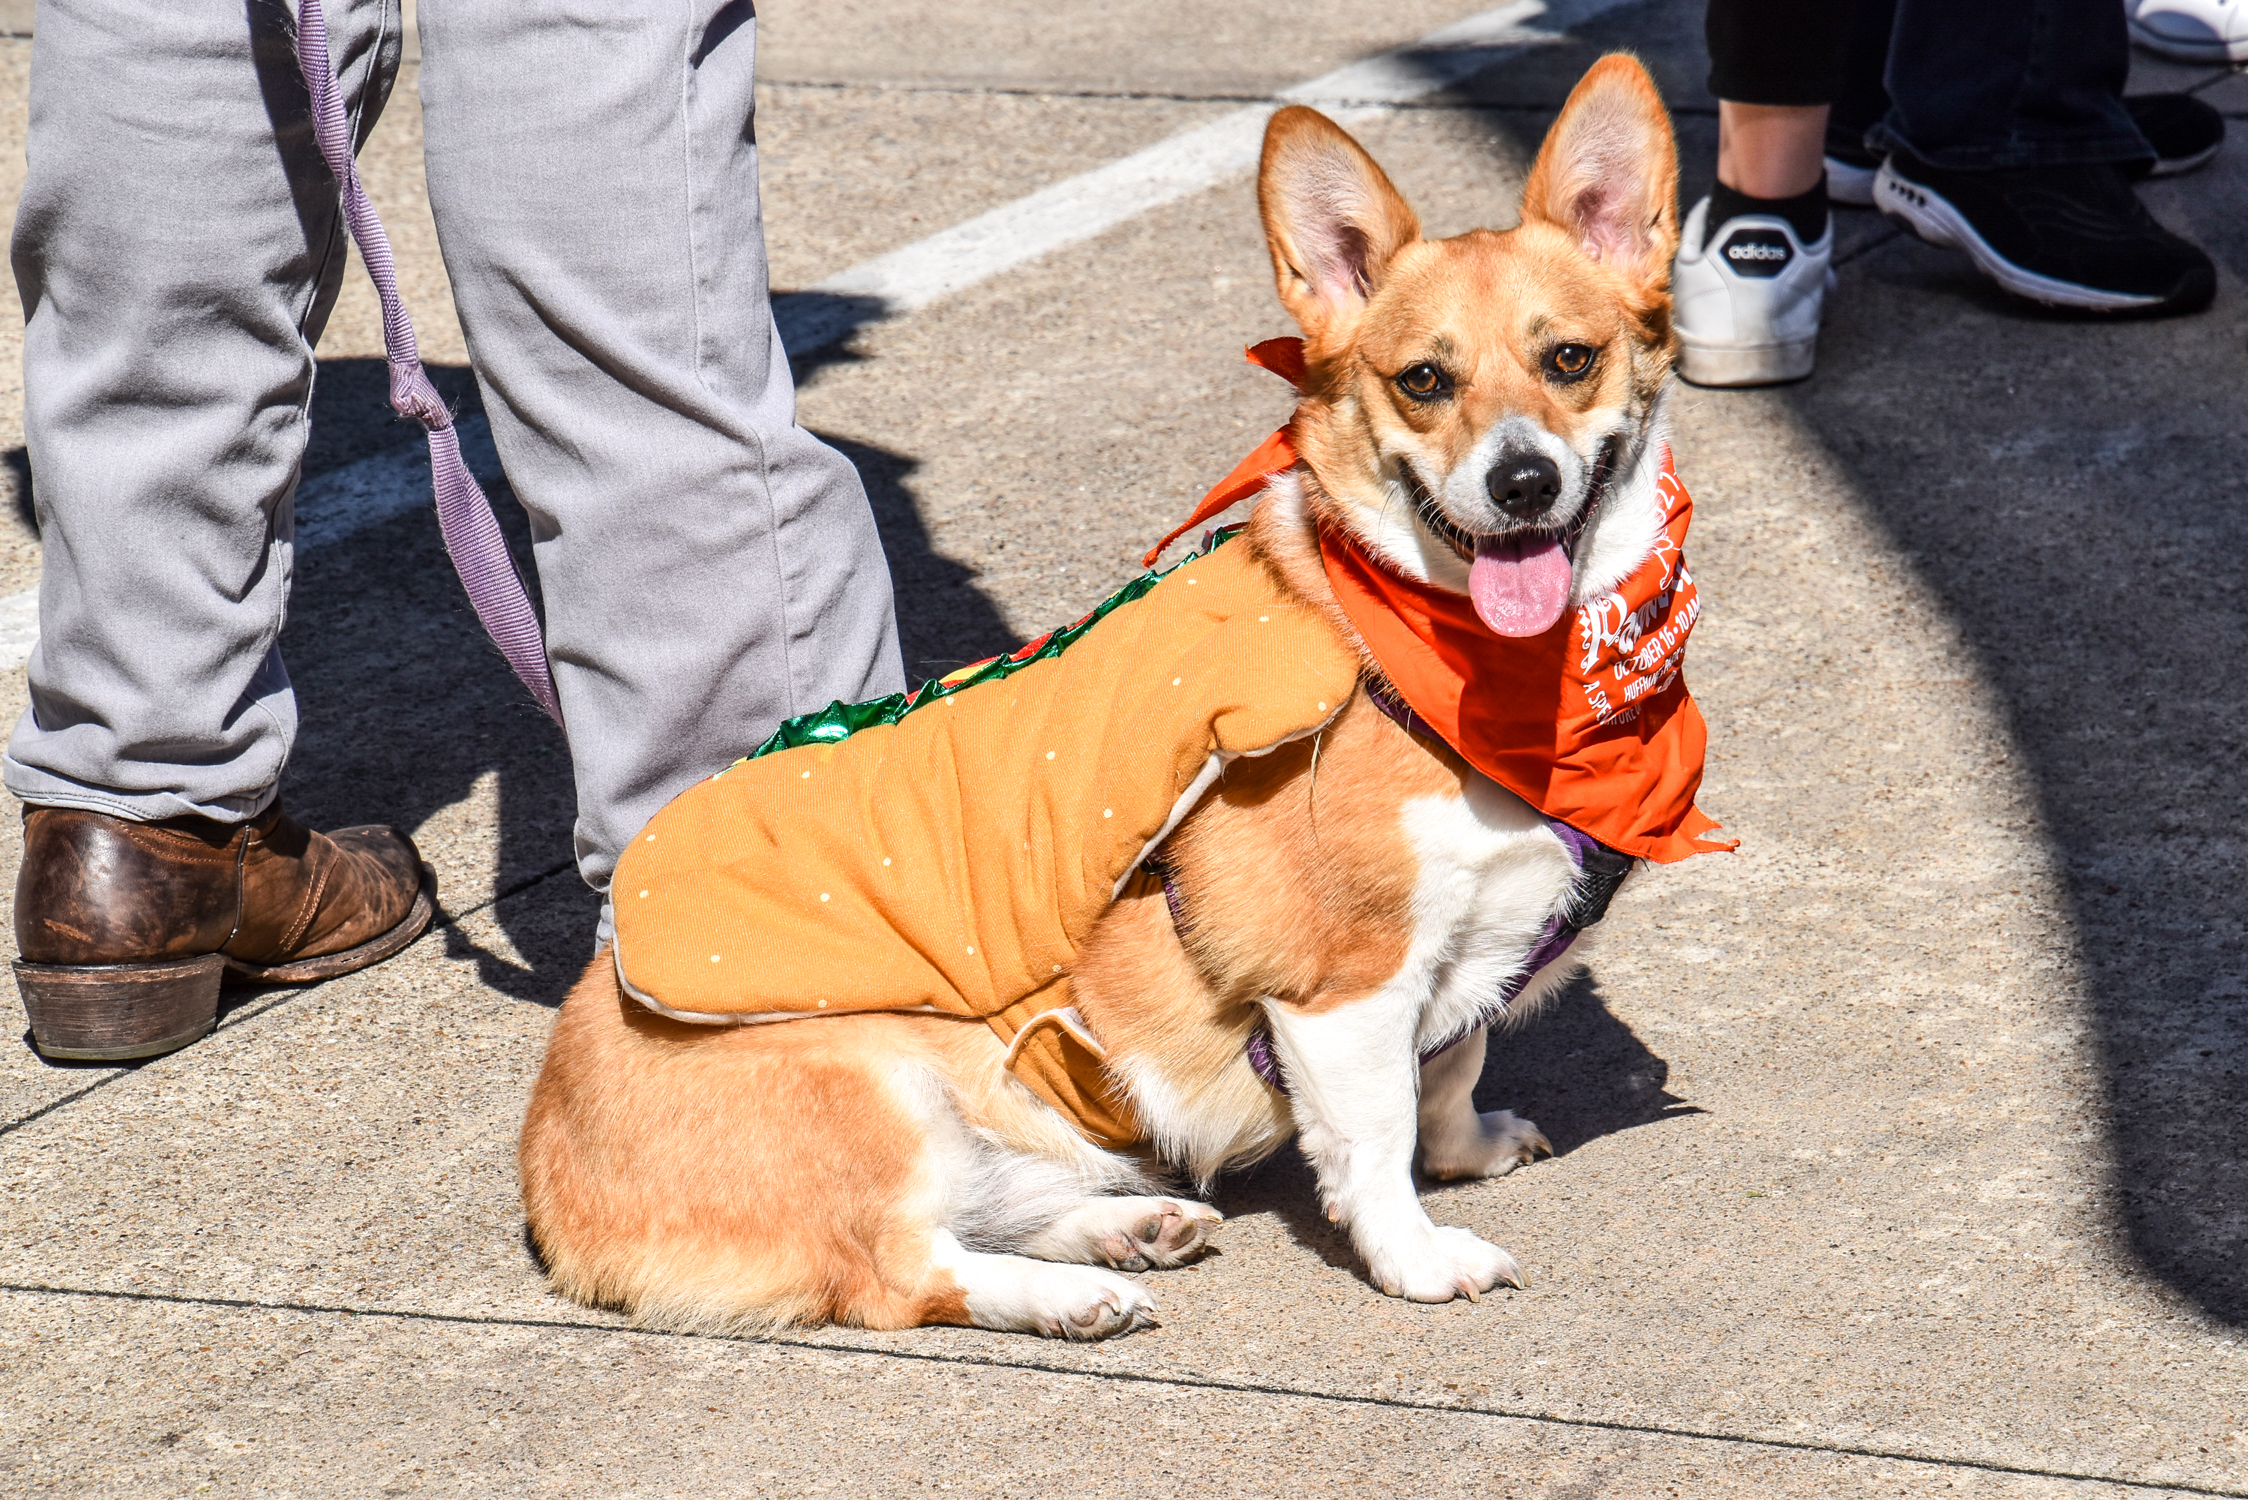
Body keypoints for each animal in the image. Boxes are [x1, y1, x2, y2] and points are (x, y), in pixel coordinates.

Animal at [521, 58, 1690, 1340]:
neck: (1475, 670)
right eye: (1423, 382)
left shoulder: (1459, 960)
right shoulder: (1342, 987)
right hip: (880, 1084)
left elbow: (1453, 1066)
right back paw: (1071, 1292)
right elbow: (1376, 1139)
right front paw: (1418, 1256)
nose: (1522, 481)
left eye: (1569, 359)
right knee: (900, 1271)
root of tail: (547, 1159)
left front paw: (1468, 1148)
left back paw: (1124, 1230)